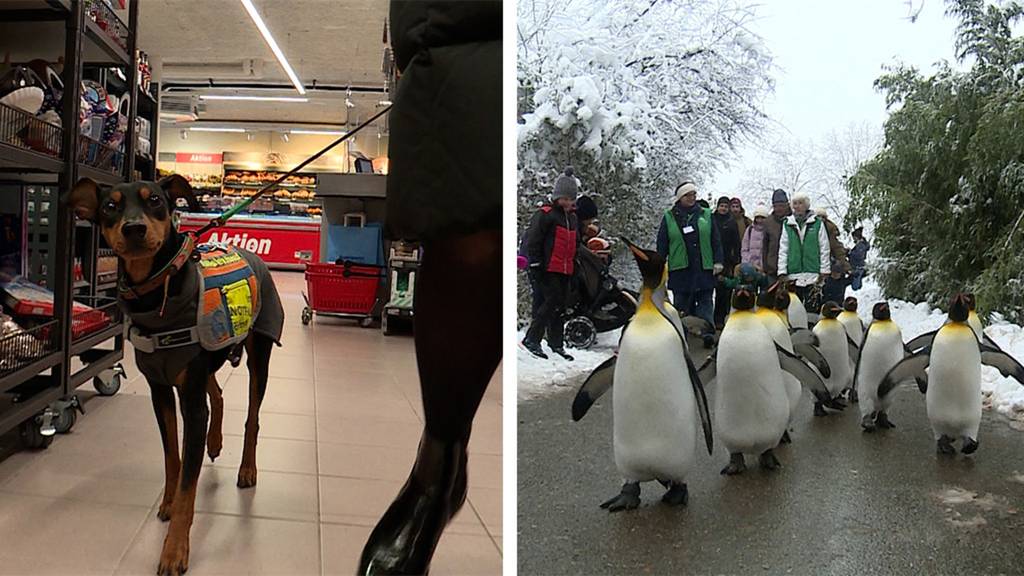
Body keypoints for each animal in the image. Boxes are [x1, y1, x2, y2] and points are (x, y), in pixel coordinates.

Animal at [64, 176, 282, 573]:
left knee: (252, 417)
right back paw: (215, 441)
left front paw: (174, 550)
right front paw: (167, 502)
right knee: (218, 394)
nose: (134, 228)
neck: (155, 293)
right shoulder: (161, 390)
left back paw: (247, 469)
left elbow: (188, 487)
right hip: (201, 362)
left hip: (259, 351)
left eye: (155, 200)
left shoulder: (191, 402)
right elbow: (172, 458)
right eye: (109, 206)